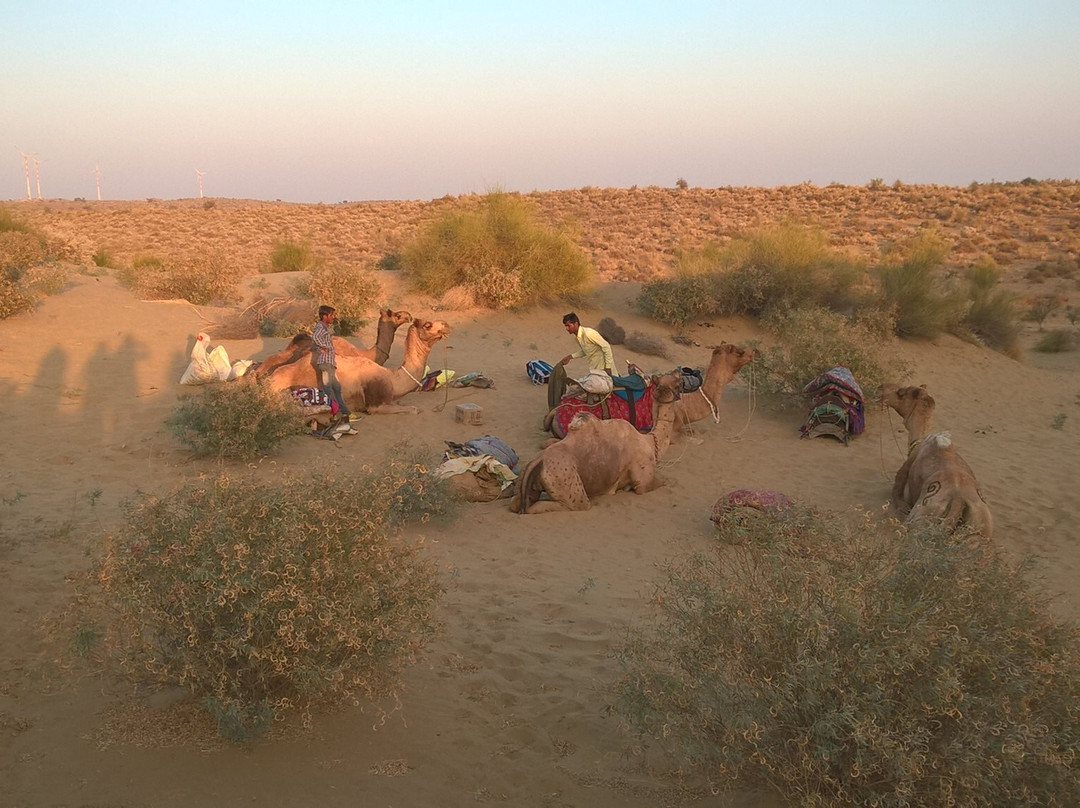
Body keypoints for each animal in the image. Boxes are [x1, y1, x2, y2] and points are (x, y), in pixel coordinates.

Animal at [509, 370, 683, 514]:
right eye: (678, 384)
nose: (680, 372)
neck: (650, 442)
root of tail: (538, 461)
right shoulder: (643, 482)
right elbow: (664, 482)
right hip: (569, 488)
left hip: (527, 479)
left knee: (516, 503)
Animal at [878, 383, 994, 537]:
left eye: (901, 392)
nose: (881, 387)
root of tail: (959, 500)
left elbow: (898, 495)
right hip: (979, 527)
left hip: (922, 516)